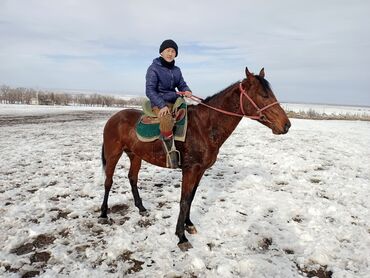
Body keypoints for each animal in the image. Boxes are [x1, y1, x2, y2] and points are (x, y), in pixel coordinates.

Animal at [99, 68, 290, 252]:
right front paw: (181, 237)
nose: (286, 125)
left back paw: (141, 208)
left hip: (135, 156)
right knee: (108, 182)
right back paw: (103, 214)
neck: (204, 127)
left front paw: (189, 225)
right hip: (113, 154)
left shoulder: (201, 170)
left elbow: (191, 198)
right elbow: (184, 201)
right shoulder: (190, 170)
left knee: (132, 178)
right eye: (263, 95)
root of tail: (113, 118)